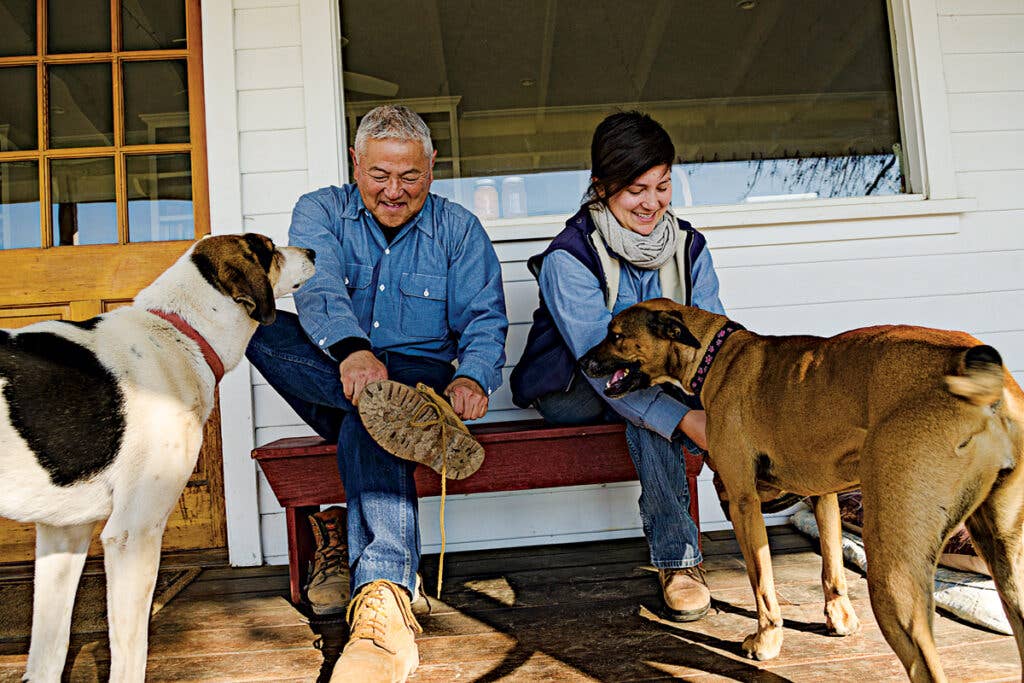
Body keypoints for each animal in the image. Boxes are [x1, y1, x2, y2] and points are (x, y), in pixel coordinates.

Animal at [0, 235, 311, 683]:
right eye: (270, 250)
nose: (314, 253)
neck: (180, 335)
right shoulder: (134, 532)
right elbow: (131, 656)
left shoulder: (64, 535)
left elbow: (49, 653)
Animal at [581, 299, 1019, 683]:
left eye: (616, 335)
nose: (583, 363)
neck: (716, 355)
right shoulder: (824, 495)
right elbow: (832, 565)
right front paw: (839, 618)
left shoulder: (743, 503)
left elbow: (762, 582)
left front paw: (767, 638)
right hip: (1007, 566)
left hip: (894, 572)